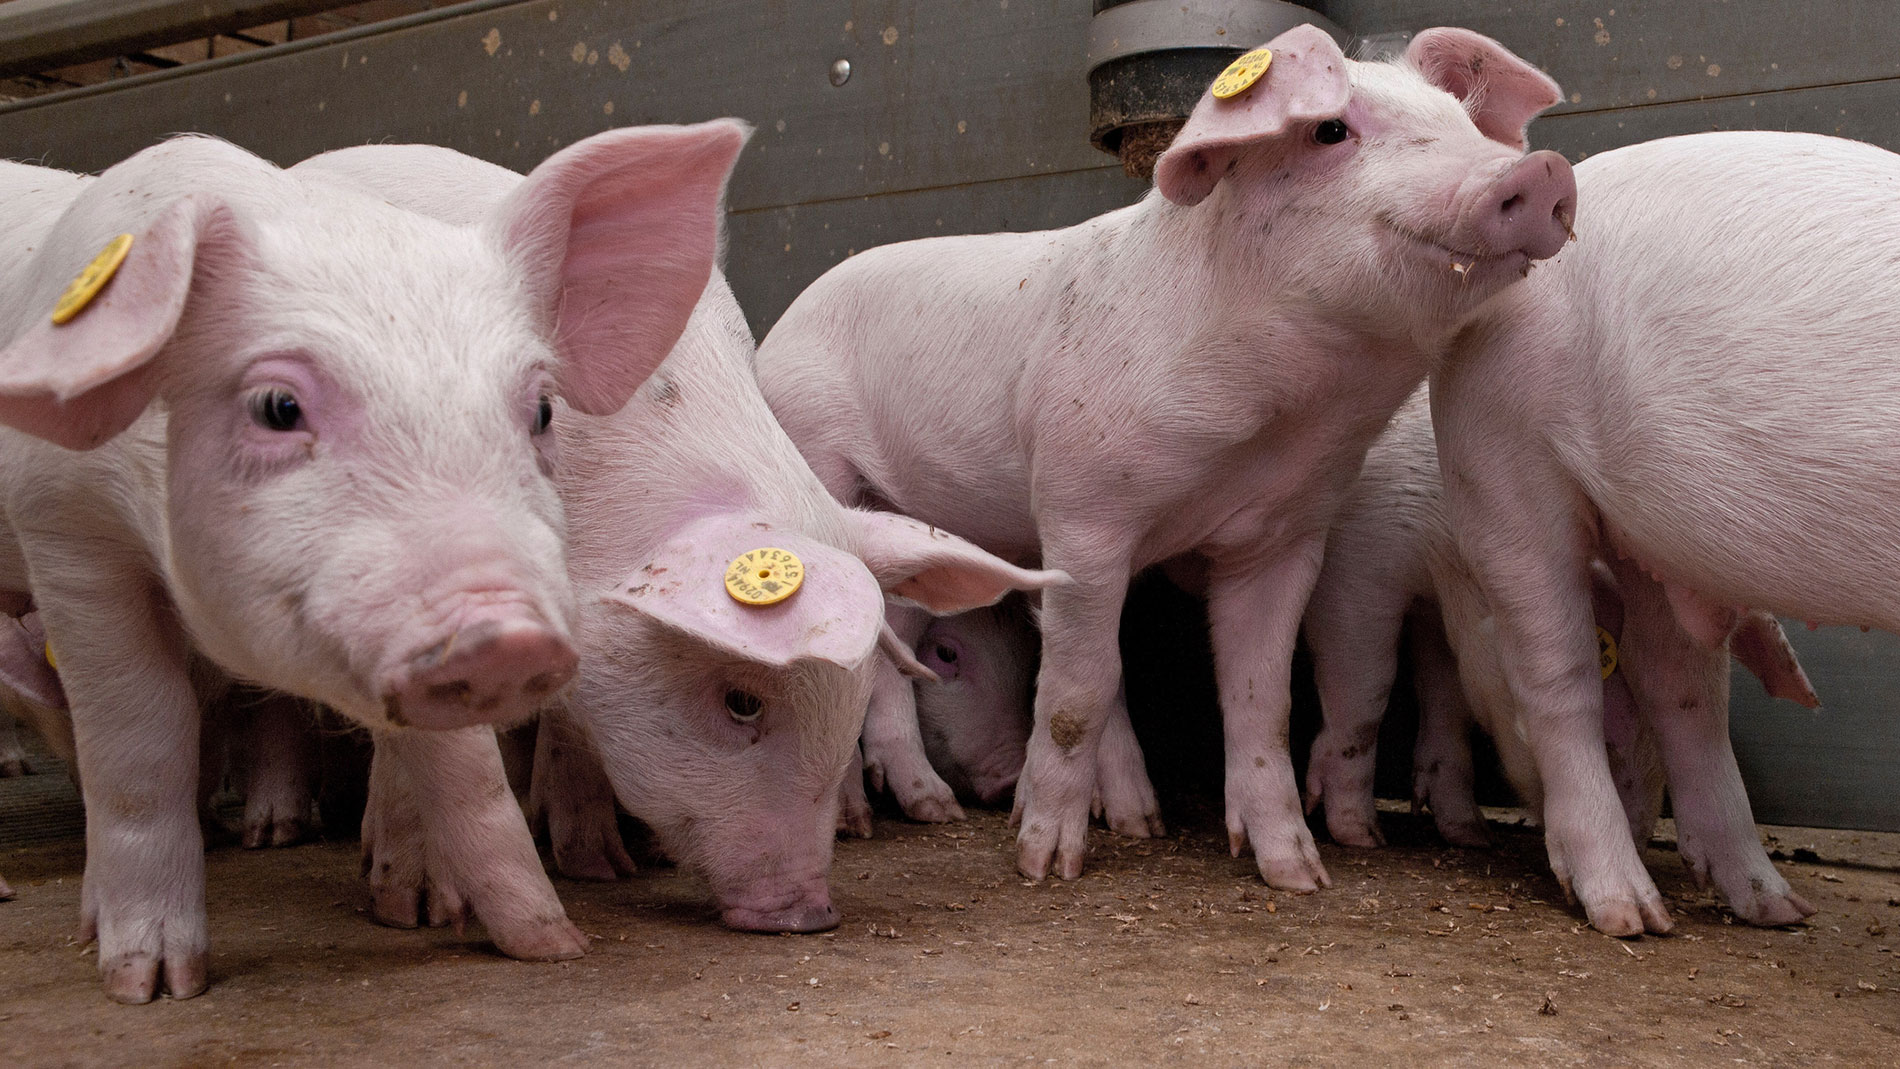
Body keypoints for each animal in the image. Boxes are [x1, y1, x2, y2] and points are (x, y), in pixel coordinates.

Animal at [0, 122, 738, 1000]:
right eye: (277, 407)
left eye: (541, 409)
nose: (505, 634)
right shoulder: (61, 523)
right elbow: (139, 736)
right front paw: (151, 985)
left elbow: (463, 766)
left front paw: (547, 941)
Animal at [1302, 391, 1818, 850]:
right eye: (1613, 722)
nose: (1638, 842)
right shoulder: (1365, 550)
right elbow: (1365, 687)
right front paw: (1366, 839)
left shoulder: (1440, 616)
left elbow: (1447, 696)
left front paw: (1473, 837)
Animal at [1428, 129, 1900, 934]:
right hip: (1502, 460)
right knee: (1559, 678)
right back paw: (1629, 913)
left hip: (1657, 541)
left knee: (1676, 682)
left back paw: (1776, 907)